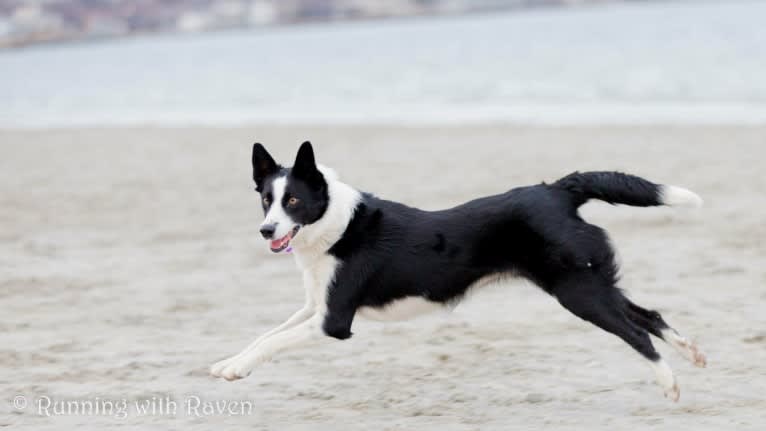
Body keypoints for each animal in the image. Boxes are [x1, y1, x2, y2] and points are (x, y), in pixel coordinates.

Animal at [210, 142, 708, 402]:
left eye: (292, 201)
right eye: (266, 200)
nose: (266, 230)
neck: (336, 224)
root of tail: (557, 191)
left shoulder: (332, 321)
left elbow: (271, 341)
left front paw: (237, 368)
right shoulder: (314, 306)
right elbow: (264, 335)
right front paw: (227, 364)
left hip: (576, 290)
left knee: (636, 332)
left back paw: (669, 383)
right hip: (591, 281)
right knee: (648, 316)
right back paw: (692, 354)